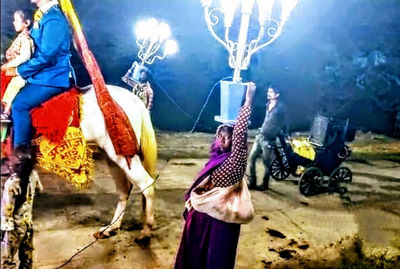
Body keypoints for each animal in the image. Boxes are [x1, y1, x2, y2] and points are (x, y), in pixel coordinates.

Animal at [76, 84, 157, 239]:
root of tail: (136, 101)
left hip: (123, 156)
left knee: (146, 184)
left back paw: (146, 230)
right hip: (112, 158)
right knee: (124, 190)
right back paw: (110, 228)